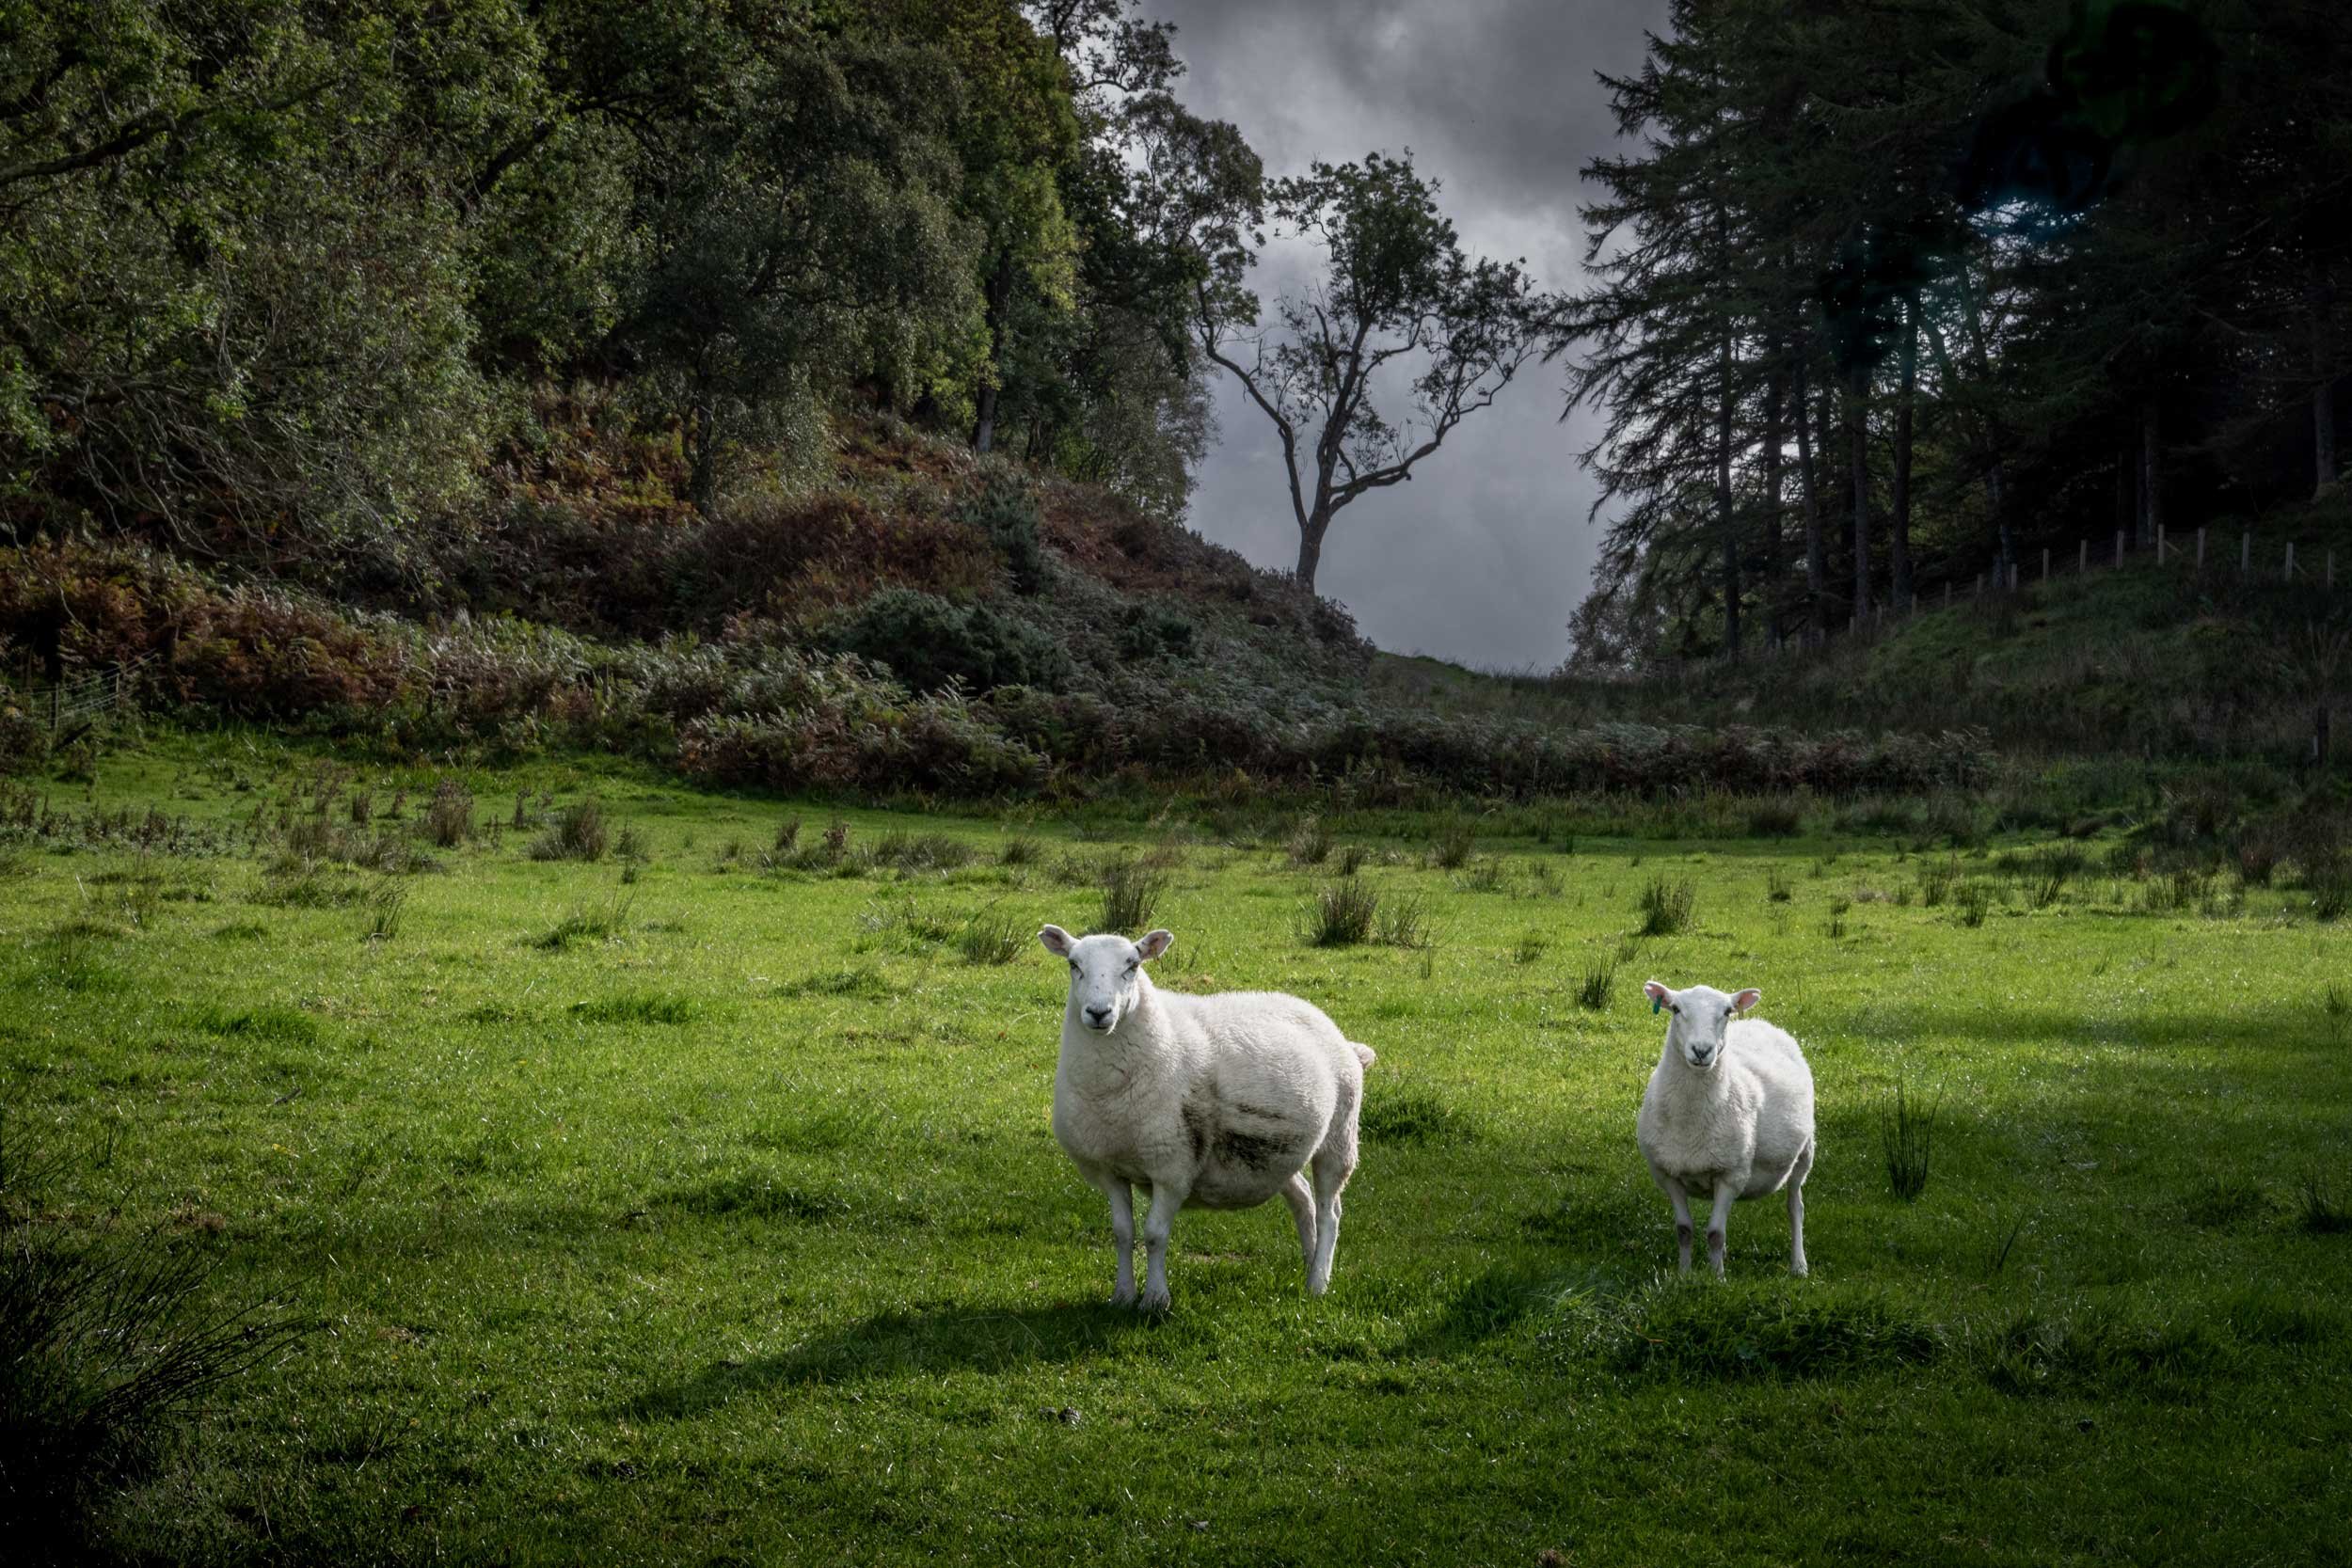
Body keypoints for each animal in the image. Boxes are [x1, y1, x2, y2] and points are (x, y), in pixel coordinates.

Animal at [1040, 921, 1374, 1316]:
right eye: (1074, 965)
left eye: (1132, 965)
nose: (1098, 1012)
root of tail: (1340, 1036)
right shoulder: (1109, 1169)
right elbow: (1122, 1234)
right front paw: (1122, 1296)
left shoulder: (1173, 1166)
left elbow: (1154, 1235)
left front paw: (1155, 1300)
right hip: (1276, 1153)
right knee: (1303, 1200)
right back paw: (1309, 1264)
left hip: (1339, 1136)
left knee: (1329, 1211)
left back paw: (1319, 1281)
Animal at [1637, 982, 1816, 1278]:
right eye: (1675, 1009)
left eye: (1727, 1012)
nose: (1701, 1050)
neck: (1691, 1122)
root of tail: (1761, 1022)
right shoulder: (1667, 1175)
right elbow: (1684, 1230)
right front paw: (1684, 1276)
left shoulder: (1732, 1175)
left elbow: (1715, 1234)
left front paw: (1718, 1279)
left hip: (1805, 1152)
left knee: (1795, 1207)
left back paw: (1799, 1265)